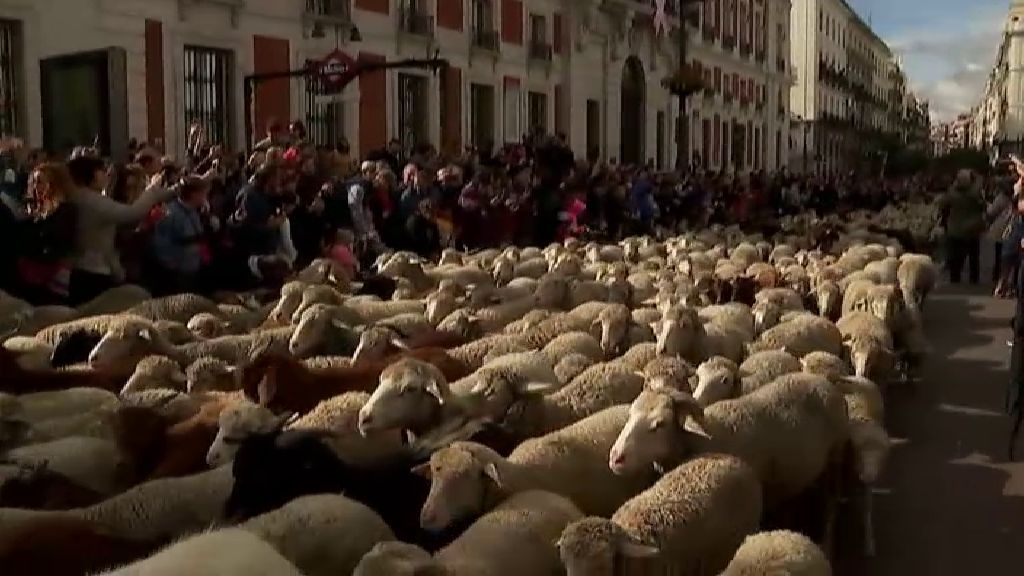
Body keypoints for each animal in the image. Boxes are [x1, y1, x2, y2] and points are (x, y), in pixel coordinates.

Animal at [606, 368, 847, 504]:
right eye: (630, 414)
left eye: (660, 423)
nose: (616, 458)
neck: (698, 440)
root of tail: (826, 383)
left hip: (836, 458)